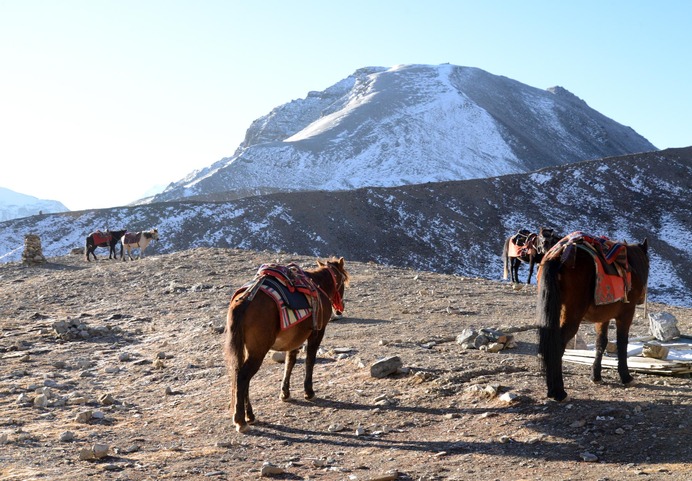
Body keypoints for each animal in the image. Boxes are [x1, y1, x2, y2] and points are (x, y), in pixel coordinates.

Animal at [224, 256, 348, 434]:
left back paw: (250, 416)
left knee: (240, 375)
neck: (319, 286)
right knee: (243, 376)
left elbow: (290, 361)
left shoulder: (295, 339)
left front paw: (285, 393)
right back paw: (241, 420)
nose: (340, 309)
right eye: (343, 280)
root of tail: (244, 300)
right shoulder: (317, 332)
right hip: (258, 351)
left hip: (247, 348)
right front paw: (309, 392)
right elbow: (310, 360)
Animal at [536, 232, 648, 402]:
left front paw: (596, 375)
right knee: (558, 344)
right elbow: (622, 343)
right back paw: (558, 391)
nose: (642, 297)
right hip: (572, 316)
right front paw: (626, 377)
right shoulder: (626, 313)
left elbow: (601, 343)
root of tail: (559, 256)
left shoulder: (603, 317)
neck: (631, 268)